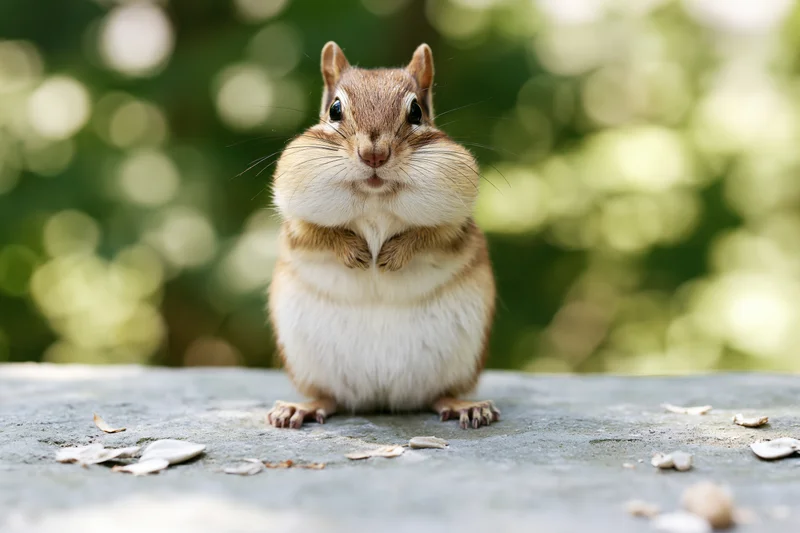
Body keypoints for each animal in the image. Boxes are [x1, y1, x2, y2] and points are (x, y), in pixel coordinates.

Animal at [266, 41, 499, 430]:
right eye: (335, 109)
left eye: (416, 111)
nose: (374, 154)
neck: (375, 199)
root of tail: (382, 398)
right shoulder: (297, 225)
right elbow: (318, 234)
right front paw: (355, 252)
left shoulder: (455, 226)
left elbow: (431, 234)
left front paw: (393, 254)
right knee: (330, 397)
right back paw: (302, 407)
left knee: (439, 395)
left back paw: (466, 406)